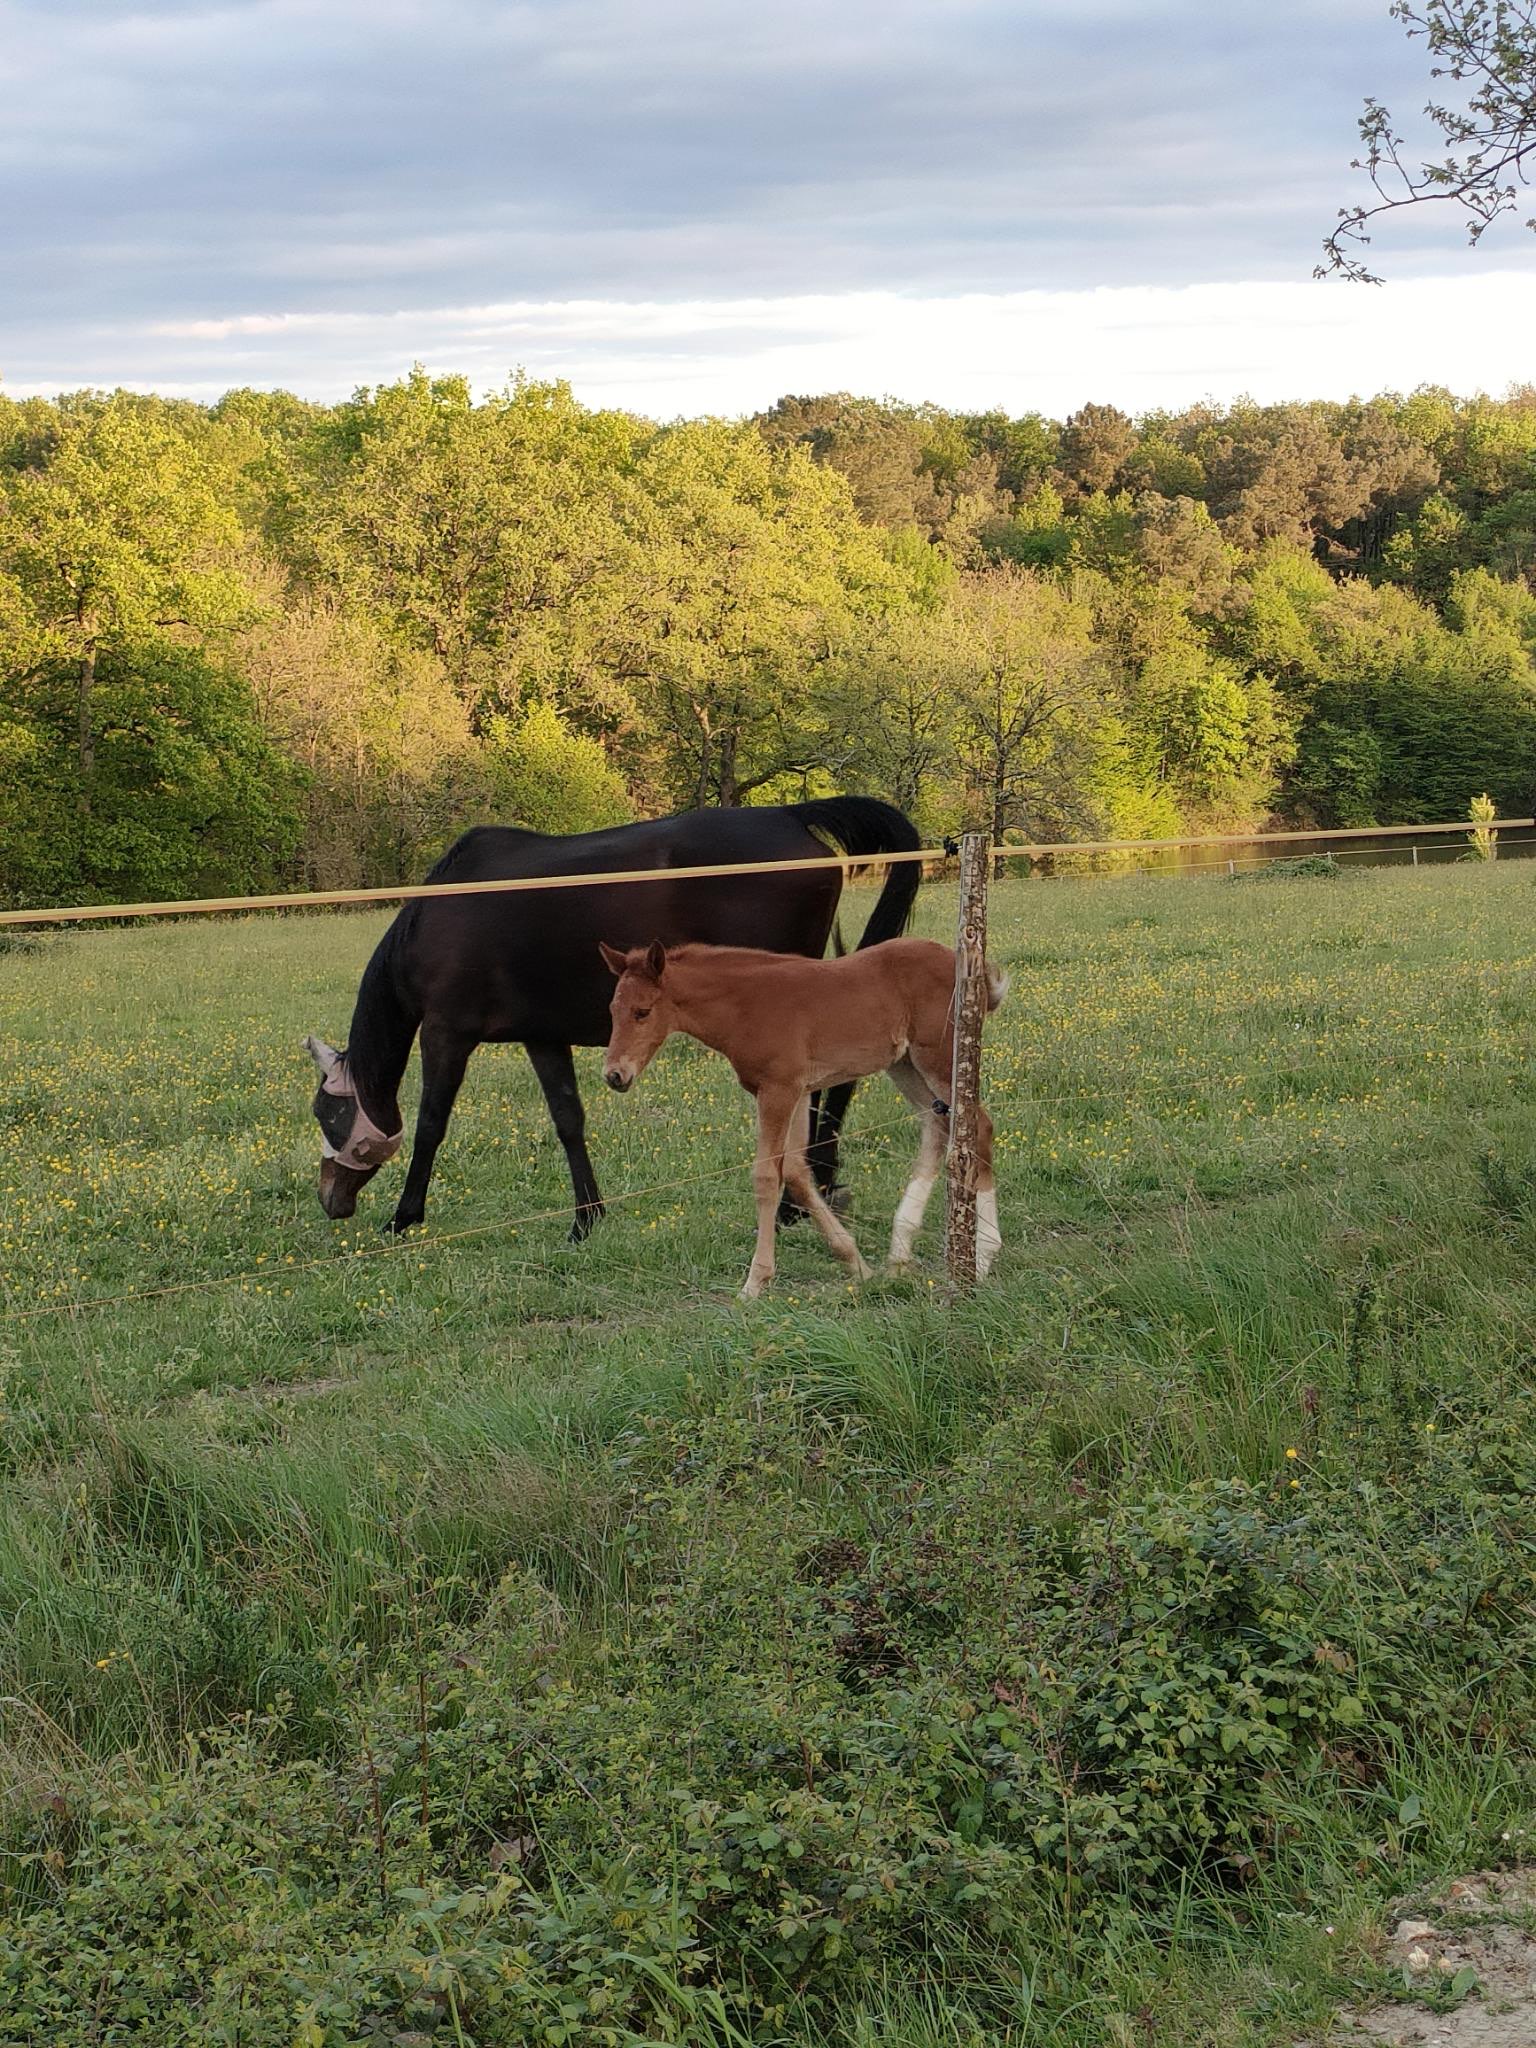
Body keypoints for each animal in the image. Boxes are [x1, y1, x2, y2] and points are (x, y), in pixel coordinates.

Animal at [303, 797, 920, 1236]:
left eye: (327, 1115)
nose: (330, 1200)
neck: (432, 921)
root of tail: (788, 812)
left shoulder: (446, 1033)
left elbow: (431, 1124)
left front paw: (405, 1216)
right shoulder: (542, 1036)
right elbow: (568, 1120)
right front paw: (587, 1217)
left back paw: (798, 1201)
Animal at [600, 936, 1007, 1298]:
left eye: (642, 1012)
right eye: (612, 1010)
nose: (615, 1075)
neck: (744, 1005)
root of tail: (971, 968)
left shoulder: (778, 1090)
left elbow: (767, 1175)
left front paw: (755, 1282)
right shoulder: (799, 1091)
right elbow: (796, 1170)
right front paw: (855, 1263)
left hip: (940, 1058)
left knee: (979, 1126)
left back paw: (983, 1255)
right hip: (905, 1065)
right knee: (937, 1126)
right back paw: (899, 1254)